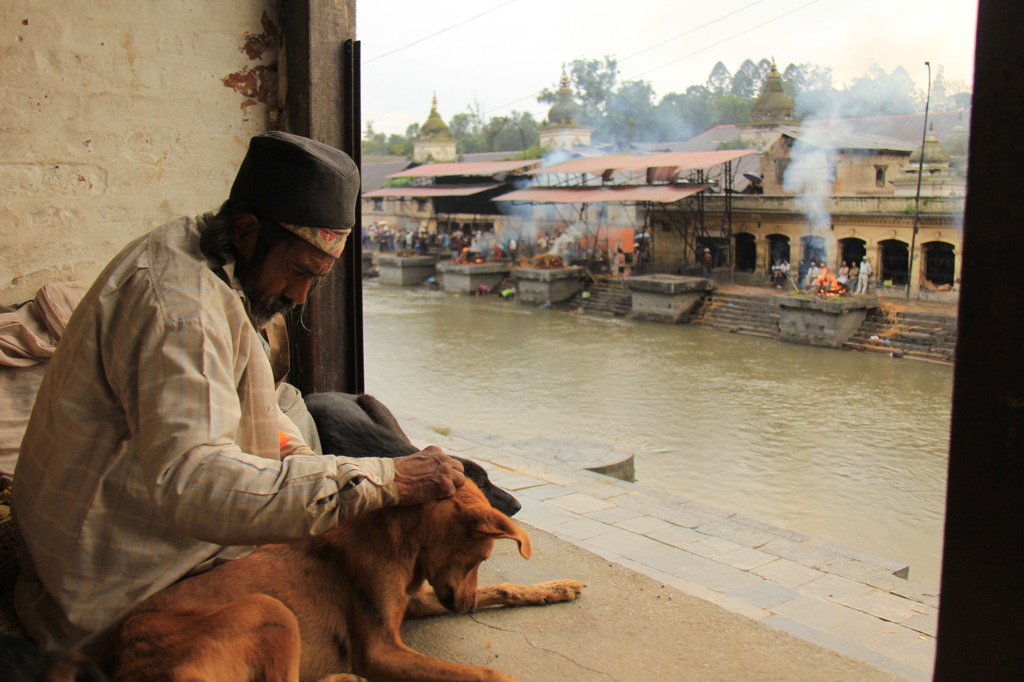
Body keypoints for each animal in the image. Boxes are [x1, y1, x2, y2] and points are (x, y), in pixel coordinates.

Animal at [104, 477, 589, 679]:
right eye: (481, 556)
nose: (464, 610)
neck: (402, 544)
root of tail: (122, 661)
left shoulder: (411, 601)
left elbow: (503, 588)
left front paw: (556, 588)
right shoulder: (380, 651)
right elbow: (490, 675)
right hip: (267, 607)